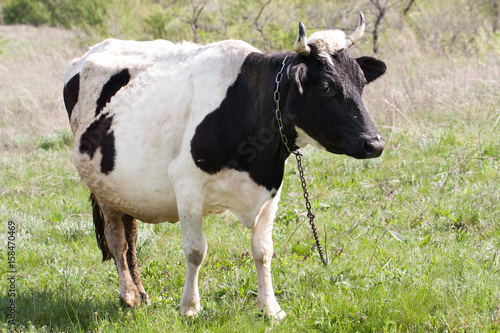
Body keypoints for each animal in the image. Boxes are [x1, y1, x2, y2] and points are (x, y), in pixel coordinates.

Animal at [62, 12, 384, 320]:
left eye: (361, 82)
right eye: (326, 87)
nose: (375, 143)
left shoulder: (271, 189)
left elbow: (263, 251)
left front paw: (271, 308)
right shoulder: (187, 184)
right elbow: (195, 251)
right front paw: (190, 307)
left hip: (123, 186)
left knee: (130, 236)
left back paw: (140, 294)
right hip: (101, 186)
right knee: (117, 239)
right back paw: (128, 295)